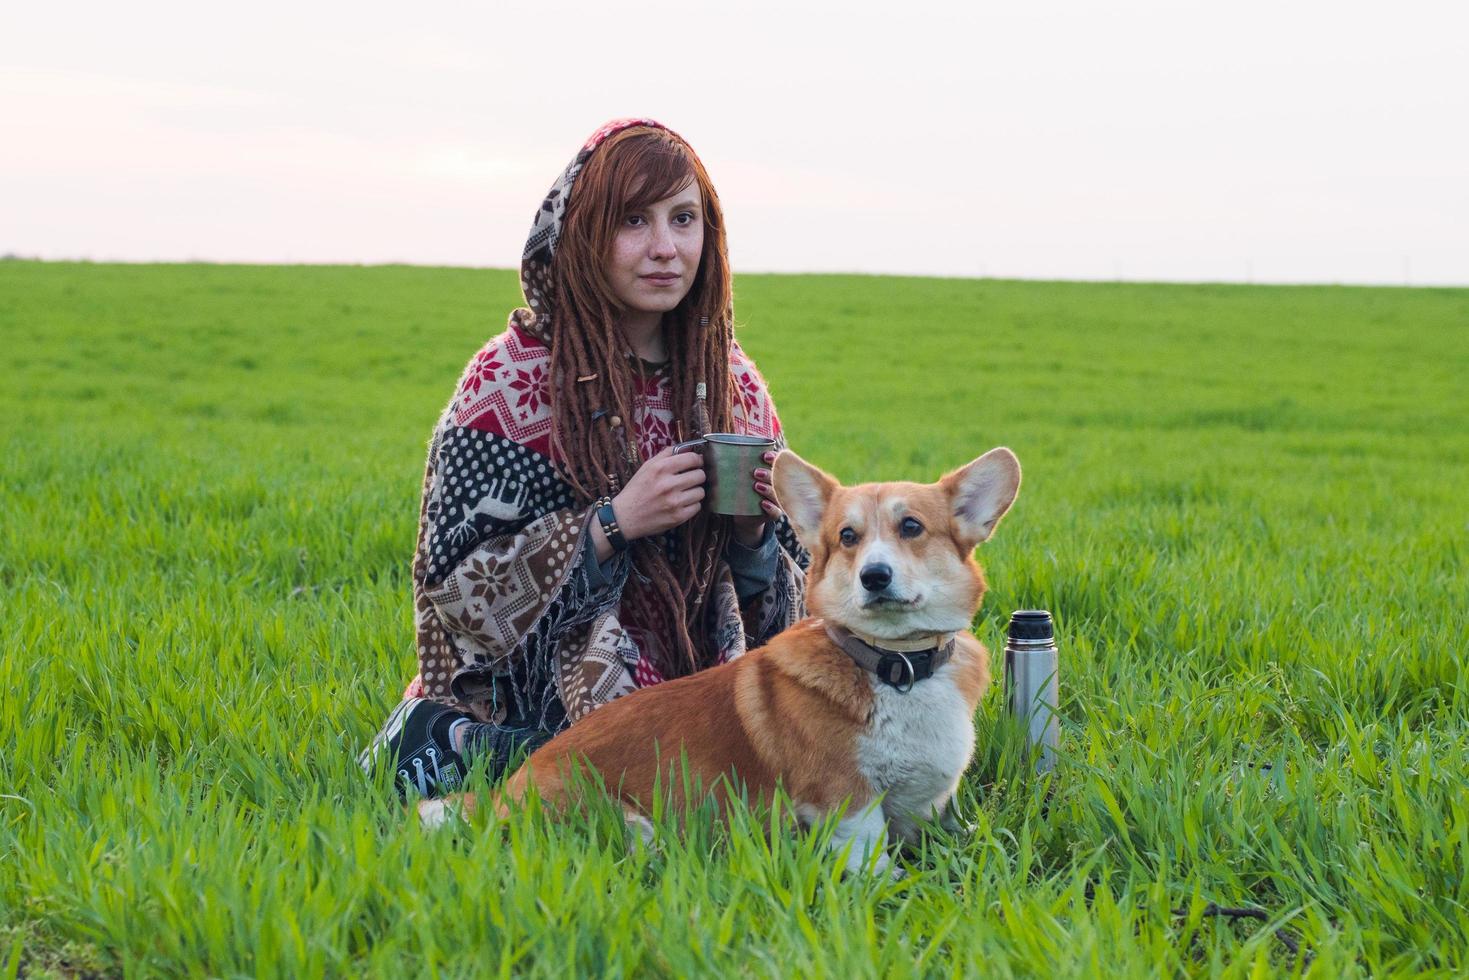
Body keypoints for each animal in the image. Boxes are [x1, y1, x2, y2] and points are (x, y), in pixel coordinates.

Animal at [420, 449, 1022, 875]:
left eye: (912, 527)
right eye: (847, 537)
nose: (874, 577)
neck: (895, 666)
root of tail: (504, 793)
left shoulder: (928, 809)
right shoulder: (847, 805)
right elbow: (877, 868)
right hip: (628, 824)